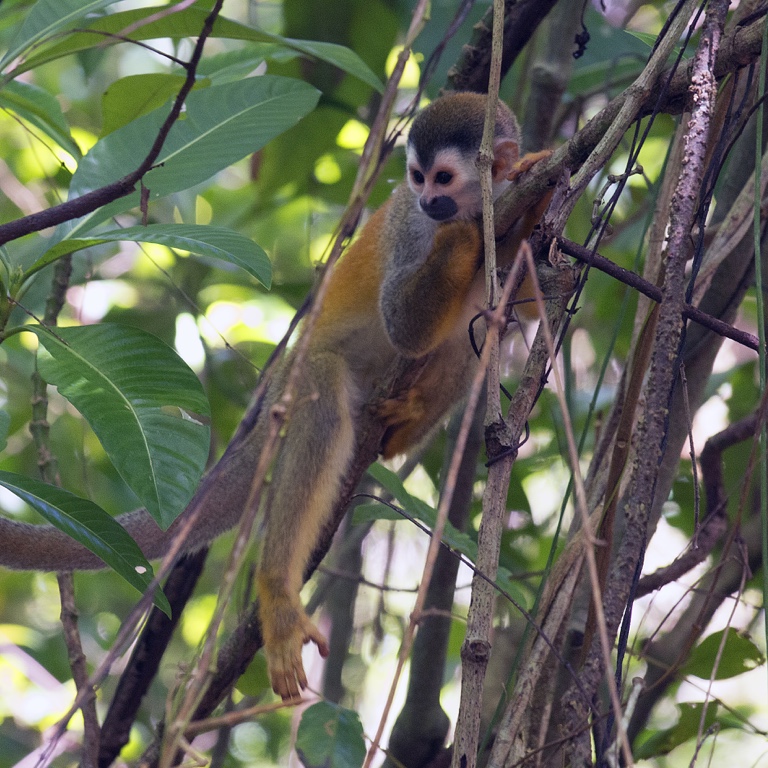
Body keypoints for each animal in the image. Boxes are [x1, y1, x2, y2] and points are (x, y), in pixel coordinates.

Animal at [0, 91, 548, 704]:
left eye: (444, 177)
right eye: (417, 177)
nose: (432, 202)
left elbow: (527, 305)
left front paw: (538, 192)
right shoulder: (409, 226)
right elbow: (405, 325)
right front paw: (464, 235)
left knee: (474, 331)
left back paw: (404, 427)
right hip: (292, 386)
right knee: (326, 385)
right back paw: (278, 590)